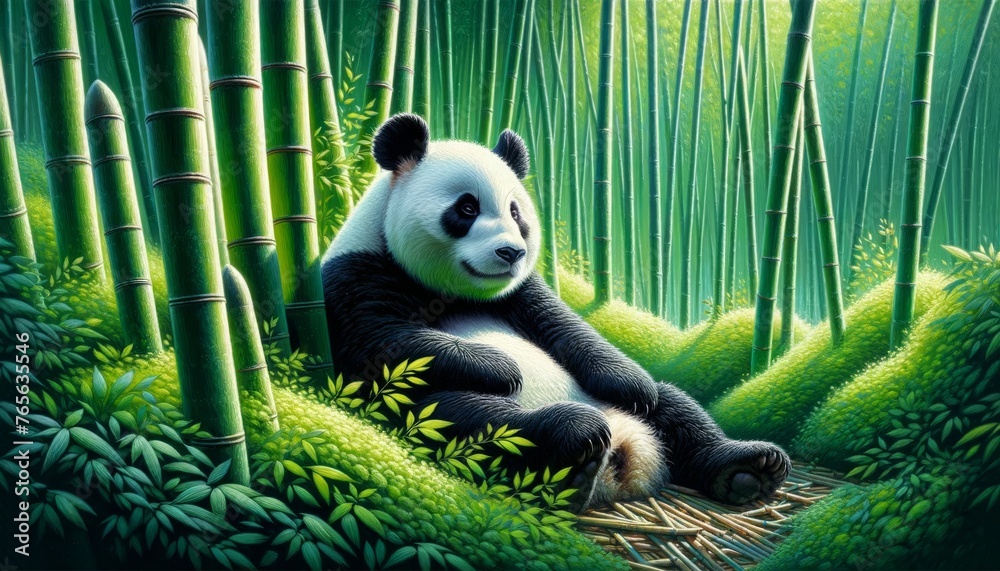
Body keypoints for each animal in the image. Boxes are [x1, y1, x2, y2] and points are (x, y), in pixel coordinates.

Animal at [321, 113, 790, 510]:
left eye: (516, 212)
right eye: (467, 208)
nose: (511, 252)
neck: (454, 292)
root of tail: (625, 460)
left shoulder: (520, 293)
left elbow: (568, 327)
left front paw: (630, 382)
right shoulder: (354, 277)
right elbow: (384, 343)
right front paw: (501, 367)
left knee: (675, 406)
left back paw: (747, 468)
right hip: (436, 415)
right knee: (469, 420)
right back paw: (572, 447)